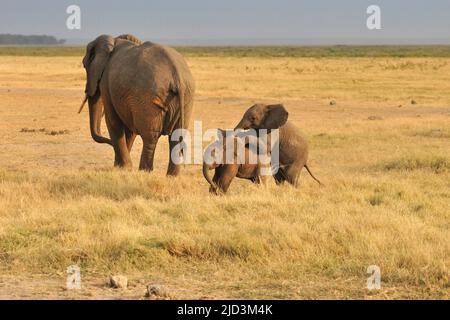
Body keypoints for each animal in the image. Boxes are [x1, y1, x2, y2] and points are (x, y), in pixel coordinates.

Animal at [78, 34, 194, 175]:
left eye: (84, 65)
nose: (109, 143)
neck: (114, 40)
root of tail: (177, 75)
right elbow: (129, 128)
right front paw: (122, 167)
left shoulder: (106, 82)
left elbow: (113, 121)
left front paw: (123, 167)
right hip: (186, 98)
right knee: (176, 137)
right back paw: (171, 177)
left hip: (148, 98)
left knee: (150, 137)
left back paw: (145, 172)